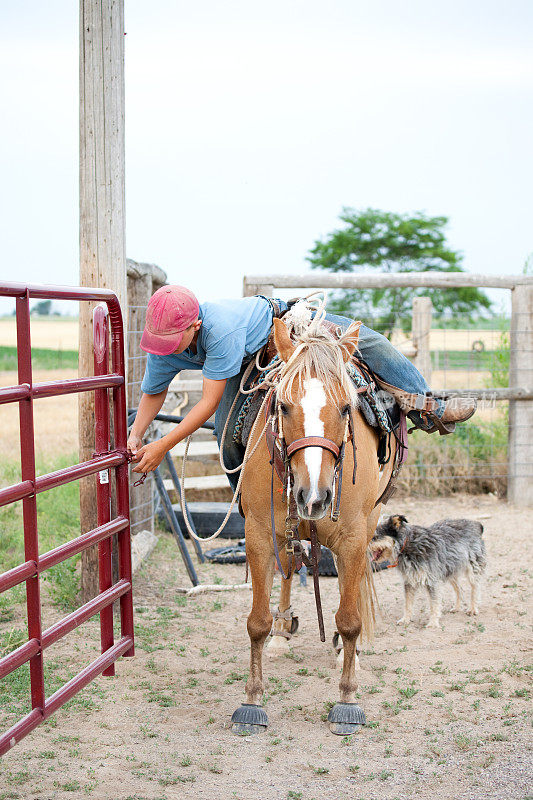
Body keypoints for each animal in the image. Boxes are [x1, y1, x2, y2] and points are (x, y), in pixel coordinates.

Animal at [231, 314, 396, 736]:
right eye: (284, 407)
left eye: (345, 409)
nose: (314, 496)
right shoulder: (259, 534)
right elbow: (255, 622)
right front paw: (251, 700)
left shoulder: (353, 537)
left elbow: (351, 620)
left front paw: (347, 699)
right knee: (290, 566)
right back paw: (282, 630)